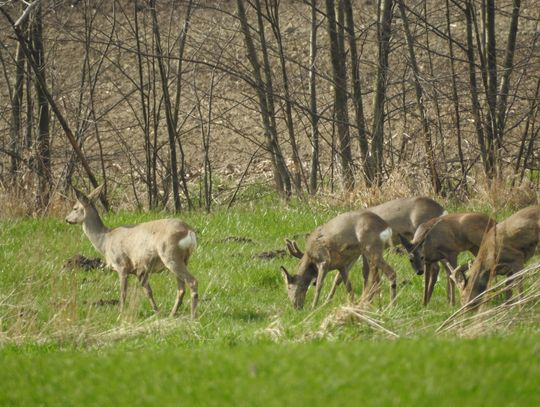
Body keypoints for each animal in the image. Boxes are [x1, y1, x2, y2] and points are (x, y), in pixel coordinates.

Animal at [63, 186, 198, 320]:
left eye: (75, 208)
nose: (66, 219)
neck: (105, 240)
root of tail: (189, 231)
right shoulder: (140, 270)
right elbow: (148, 292)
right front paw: (157, 313)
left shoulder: (121, 265)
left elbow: (123, 293)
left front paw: (120, 314)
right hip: (183, 259)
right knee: (181, 289)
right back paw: (172, 314)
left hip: (170, 255)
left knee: (192, 282)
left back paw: (192, 317)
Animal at [286, 196, 448, 302]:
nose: (313, 282)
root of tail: (443, 210)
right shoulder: (358, 254)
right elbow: (347, 276)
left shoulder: (357, 253)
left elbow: (358, 275)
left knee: (435, 267)